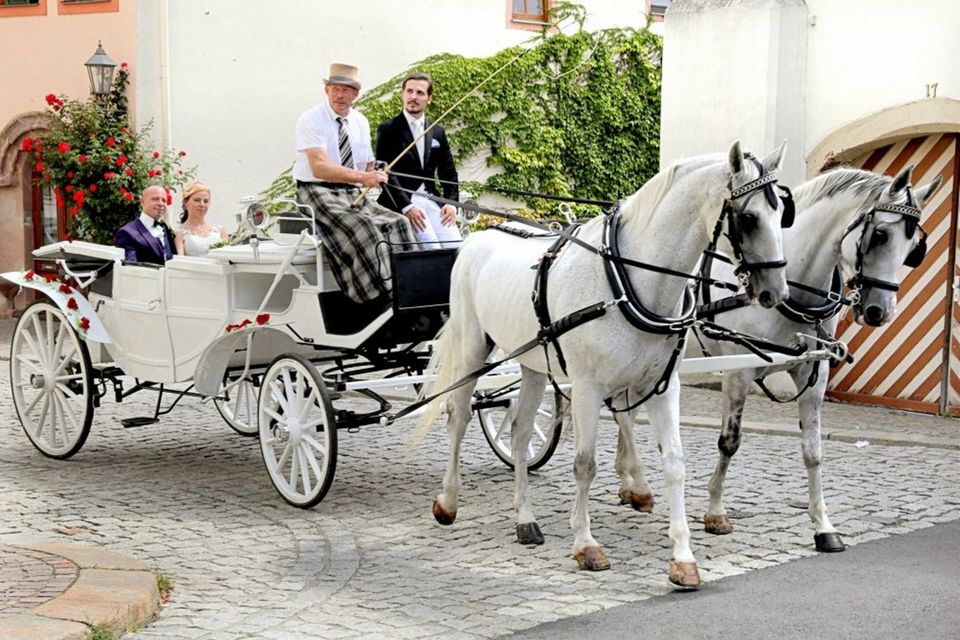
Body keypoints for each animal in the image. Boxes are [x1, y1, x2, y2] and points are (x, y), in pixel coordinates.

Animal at [416, 142, 792, 588]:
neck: (630, 281)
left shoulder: (663, 387)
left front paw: (683, 557)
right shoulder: (586, 388)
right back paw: (448, 501)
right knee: (458, 417)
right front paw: (586, 544)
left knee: (520, 433)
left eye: (781, 214)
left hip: (532, 363)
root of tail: (478, 235)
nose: (776, 293)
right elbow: (585, 464)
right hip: (472, 349)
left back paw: (525, 519)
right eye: (749, 218)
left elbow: (675, 464)